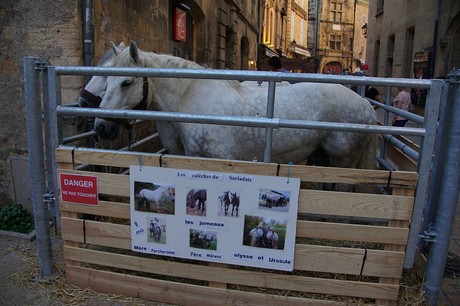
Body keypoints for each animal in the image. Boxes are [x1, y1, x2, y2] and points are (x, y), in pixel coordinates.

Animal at [95, 41, 376, 167]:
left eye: (126, 82)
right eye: (107, 79)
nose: (100, 128)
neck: (194, 101)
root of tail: (366, 107)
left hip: (343, 159)